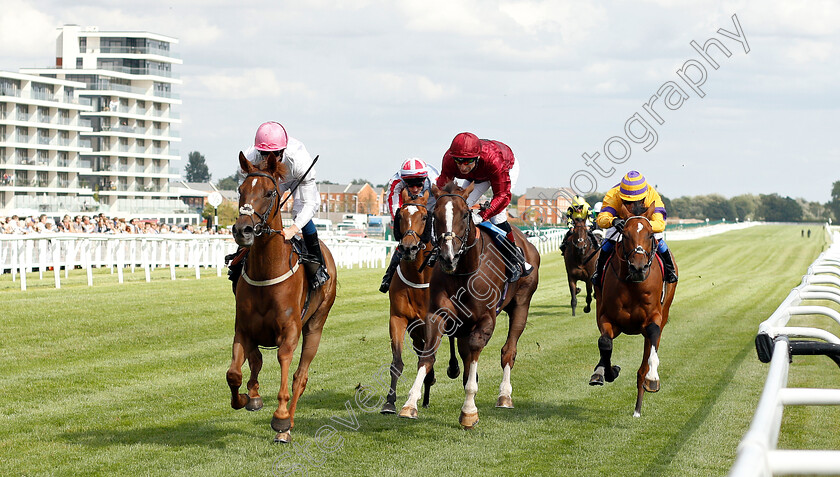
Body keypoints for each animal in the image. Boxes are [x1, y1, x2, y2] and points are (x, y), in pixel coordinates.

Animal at [230, 151, 338, 440]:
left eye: (269, 193)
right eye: (240, 190)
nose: (242, 230)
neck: (266, 272)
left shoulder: (290, 330)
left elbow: (284, 364)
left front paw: (279, 418)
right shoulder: (243, 328)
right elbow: (235, 373)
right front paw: (246, 398)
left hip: (316, 325)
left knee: (300, 377)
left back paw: (287, 424)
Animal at [380, 188, 460, 414]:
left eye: (424, 217)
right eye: (400, 216)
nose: (409, 248)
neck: (417, 276)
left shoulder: (435, 319)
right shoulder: (399, 319)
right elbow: (397, 362)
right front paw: (390, 402)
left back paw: (454, 369)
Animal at [398, 181, 540, 428]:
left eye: (465, 214)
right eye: (434, 214)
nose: (448, 256)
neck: (464, 271)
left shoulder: (485, 321)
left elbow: (475, 351)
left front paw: (469, 410)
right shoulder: (437, 314)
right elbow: (428, 355)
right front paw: (410, 403)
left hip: (521, 304)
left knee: (508, 350)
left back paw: (504, 395)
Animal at [592, 204, 676, 416]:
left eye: (650, 234)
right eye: (625, 233)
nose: (638, 267)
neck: (633, 284)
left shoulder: (654, 318)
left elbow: (653, 334)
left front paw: (653, 378)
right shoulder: (608, 318)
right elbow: (605, 343)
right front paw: (607, 371)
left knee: (645, 362)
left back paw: (639, 404)